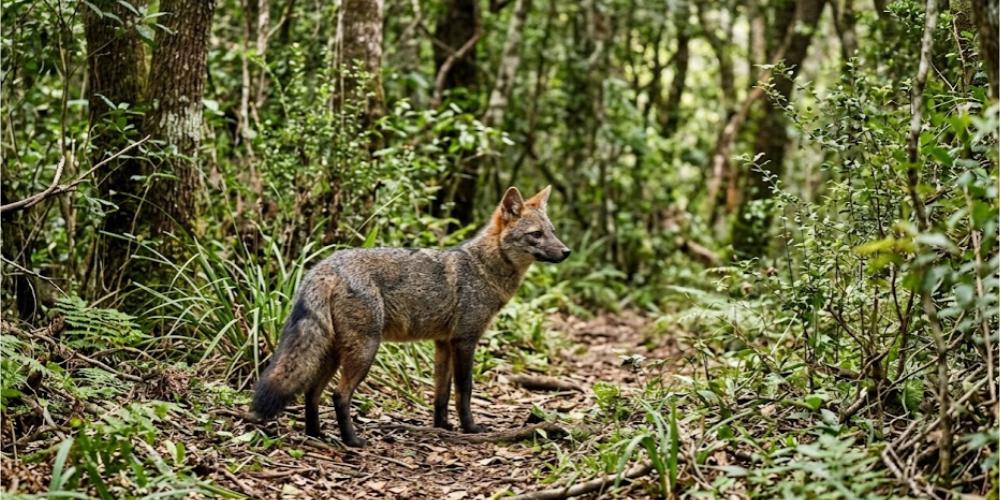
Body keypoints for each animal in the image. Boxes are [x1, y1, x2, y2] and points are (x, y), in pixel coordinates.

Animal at [251, 185, 570, 447]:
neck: (483, 268)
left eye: (553, 231)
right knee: (339, 396)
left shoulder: (443, 344)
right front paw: (470, 428)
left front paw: (442, 428)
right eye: (536, 235)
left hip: (332, 353)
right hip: (365, 351)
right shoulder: (465, 341)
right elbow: (464, 391)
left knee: (312, 393)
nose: (566, 251)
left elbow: (441, 394)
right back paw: (353, 442)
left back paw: (316, 434)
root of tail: (325, 265)